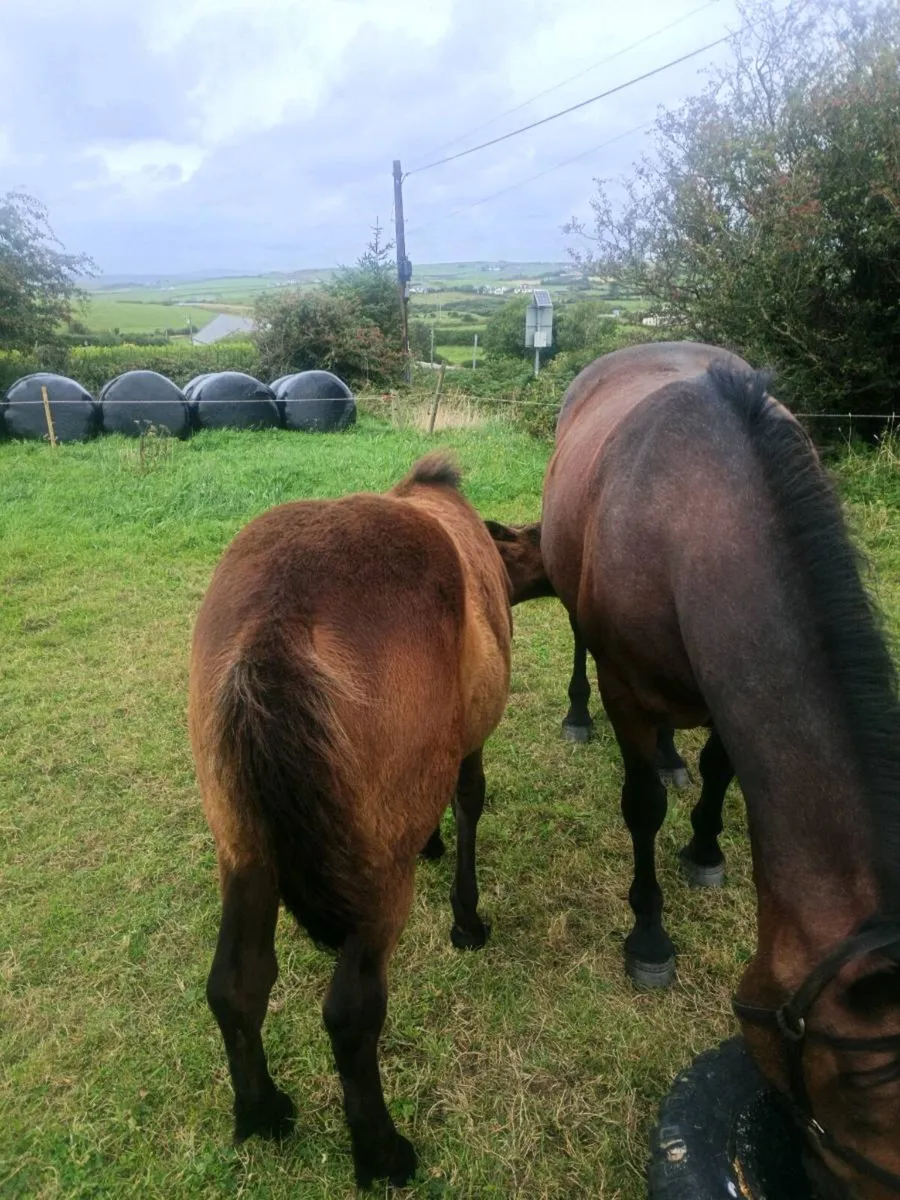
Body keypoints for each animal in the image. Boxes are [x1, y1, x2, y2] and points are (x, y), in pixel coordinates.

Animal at [188, 454, 512, 1189]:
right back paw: (383, 1152)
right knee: (351, 1013)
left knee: (237, 985)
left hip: (243, 850)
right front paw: (467, 917)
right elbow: (469, 802)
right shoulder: (467, 746)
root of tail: (275, 619)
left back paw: (263, 1112)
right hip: (375, 881)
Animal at [487, 342, 900, 1198]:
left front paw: (706, 845)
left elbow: (717, 768)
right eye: (856, 1091)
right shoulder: (625, 689)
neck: (704, 517)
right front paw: (649, 936)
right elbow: (640, 806)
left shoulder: (721, 690)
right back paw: (579, 719)